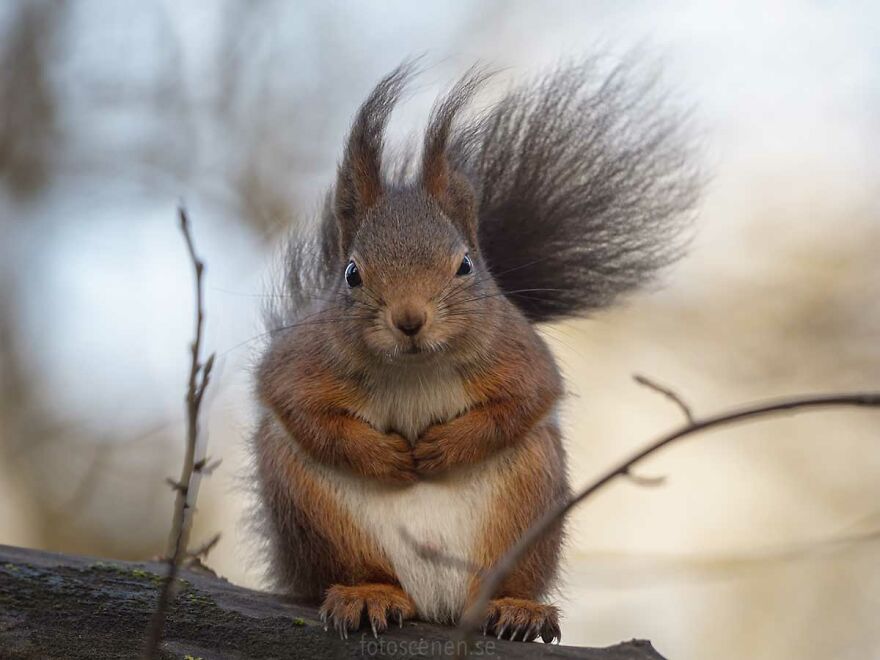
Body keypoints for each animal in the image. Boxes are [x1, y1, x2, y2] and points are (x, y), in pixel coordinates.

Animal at [252, 59, 697, 642]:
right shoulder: (303, 359)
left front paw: (444, 447)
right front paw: (386, 456)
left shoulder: (519, 353)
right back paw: (368, 594)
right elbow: (296, 405)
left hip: (527, 501)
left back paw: (515, 607)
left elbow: (525, 401)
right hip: (312, 510)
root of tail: (438, 601)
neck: (416, 368)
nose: (410, 319)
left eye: (465, 265)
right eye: (351, 273)